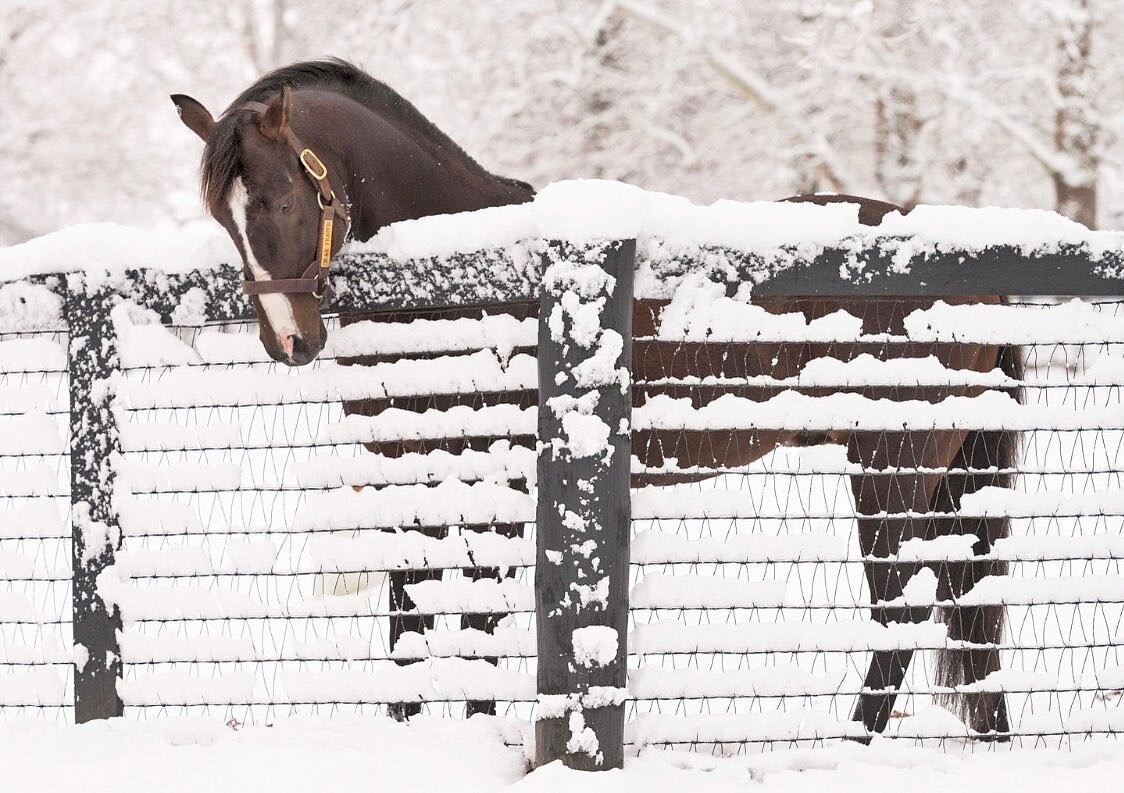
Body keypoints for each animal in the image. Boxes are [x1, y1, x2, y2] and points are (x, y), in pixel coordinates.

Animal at [173, 58, 1020, 732]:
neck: (470, 277)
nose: (290, 341)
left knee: (902, 608)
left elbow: (478, 625)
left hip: (889, 466)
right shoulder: (409, 479)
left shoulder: (499, 487)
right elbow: (408, 623)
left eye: (283, 199)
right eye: (224, 219)